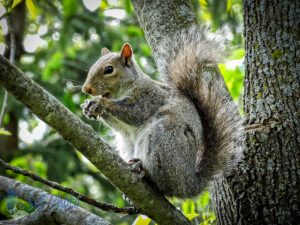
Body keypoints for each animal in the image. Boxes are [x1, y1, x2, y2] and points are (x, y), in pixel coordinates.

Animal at [81, 26, 243, 198]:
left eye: (109, 70)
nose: (86, 89)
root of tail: (187, 185)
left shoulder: (147, 98)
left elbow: (133, 113)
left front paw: (100, 103)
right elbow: (119, 125)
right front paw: (88, 107)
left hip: (163, 138)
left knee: (163, 184)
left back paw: (144, 172)